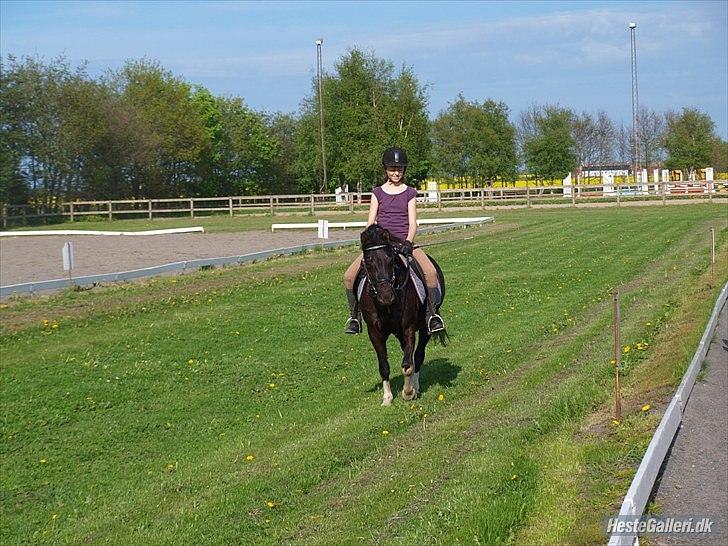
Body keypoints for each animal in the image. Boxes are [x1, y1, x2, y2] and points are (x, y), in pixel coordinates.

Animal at [356, 222, 446, 404]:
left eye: (390, 259)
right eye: (368, 261)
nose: (386, 296)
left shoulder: (408, 329)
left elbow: (407, 365)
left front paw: (408, 392)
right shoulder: (374, 333)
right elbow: (384, 366)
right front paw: (387, 398)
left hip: (425, 327)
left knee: (418, 356)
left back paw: (416, 387)